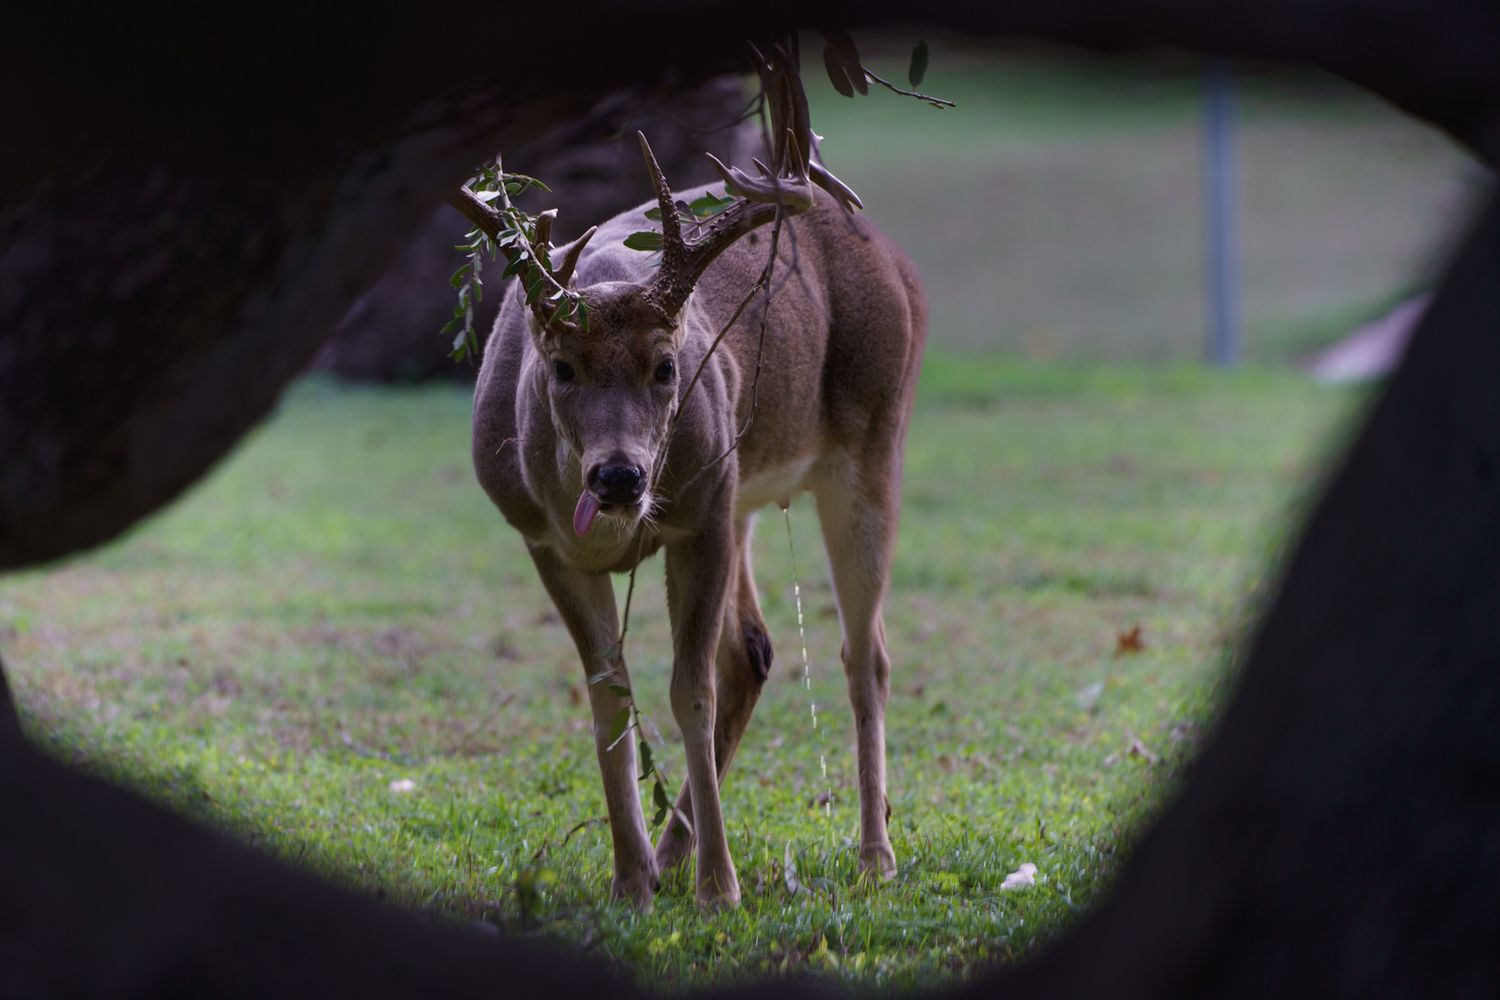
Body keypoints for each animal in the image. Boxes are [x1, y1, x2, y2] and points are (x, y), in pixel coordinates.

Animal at [468, 130, 926, 910]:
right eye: (560, 367)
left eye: (665, 366)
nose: (618, 476)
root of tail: (898, 262)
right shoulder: (543, 539)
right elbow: (610, 698)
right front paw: (631, 879)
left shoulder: (702, 514)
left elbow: (691, 692)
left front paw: (720, 887)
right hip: (746, 492)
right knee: (754, 650)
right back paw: (669, 853)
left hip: (872, 434)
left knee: (865, 656)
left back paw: (875, 857)